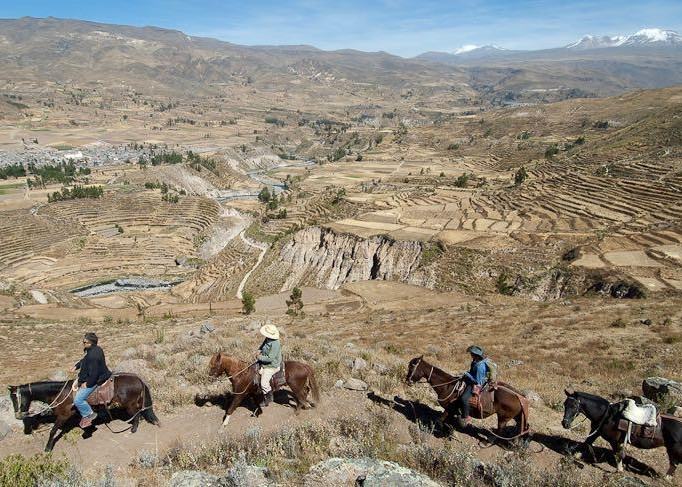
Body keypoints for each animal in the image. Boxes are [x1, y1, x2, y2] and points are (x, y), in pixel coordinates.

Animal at [8, 376, 160, 452]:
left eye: (17, 398)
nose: (17, 416)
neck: (59, 393)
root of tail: (139, 380)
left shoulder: (62, 416)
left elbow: (53, 431)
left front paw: (48, 447)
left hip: (129, 404)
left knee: (137, 414)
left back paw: (133, 429)